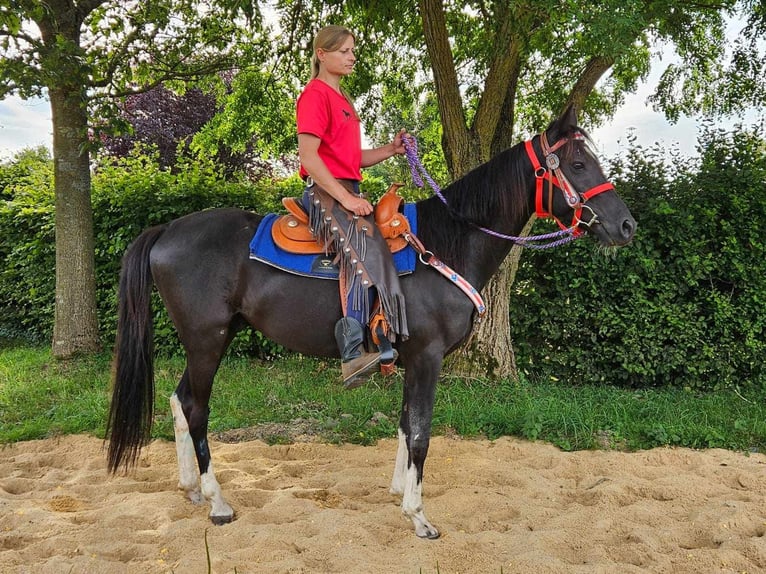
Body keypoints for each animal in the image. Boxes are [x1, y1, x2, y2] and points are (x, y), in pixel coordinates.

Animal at [106, 107, 636, 540]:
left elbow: (404, 424)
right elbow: (421, 431)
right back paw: (218, 503)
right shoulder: (427, 357)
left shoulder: (411, 358)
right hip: (207, 341)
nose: (626, 226)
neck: (445, 244)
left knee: (179, 400)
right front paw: (419, 517)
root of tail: (167, 230)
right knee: (196, 409)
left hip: (209, 340)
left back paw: (192, 490)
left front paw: (398, 493)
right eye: (578, 165)